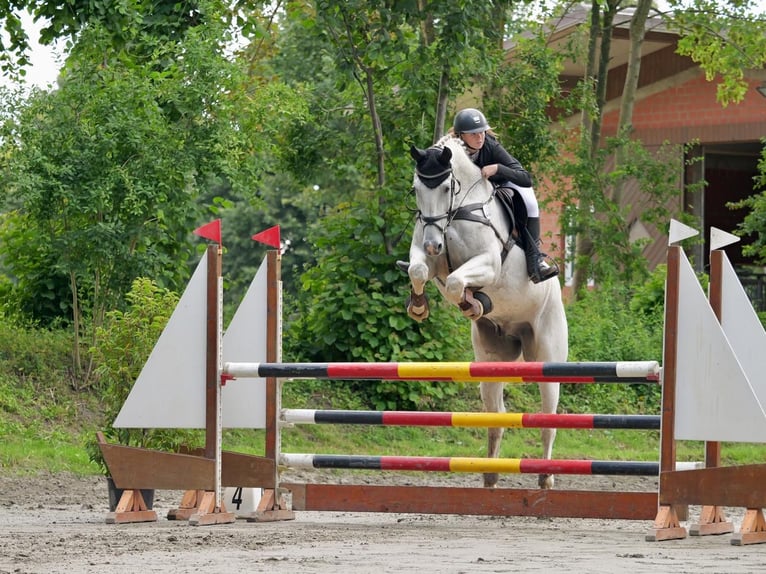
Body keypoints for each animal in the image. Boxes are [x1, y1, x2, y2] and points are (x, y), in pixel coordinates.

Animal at [408, 136, 568, 490]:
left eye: (447, 187)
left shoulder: (489, 264)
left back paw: (546, 477)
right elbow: (418, 270)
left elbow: (458, 282)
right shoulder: (429, 259)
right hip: (490, 364)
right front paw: (419, 305)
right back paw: (491, 475)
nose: (432, 245)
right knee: (497, 416)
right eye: (416, 188)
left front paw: (474, 302)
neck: (456, 213)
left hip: (547, 356)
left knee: (548, 418)